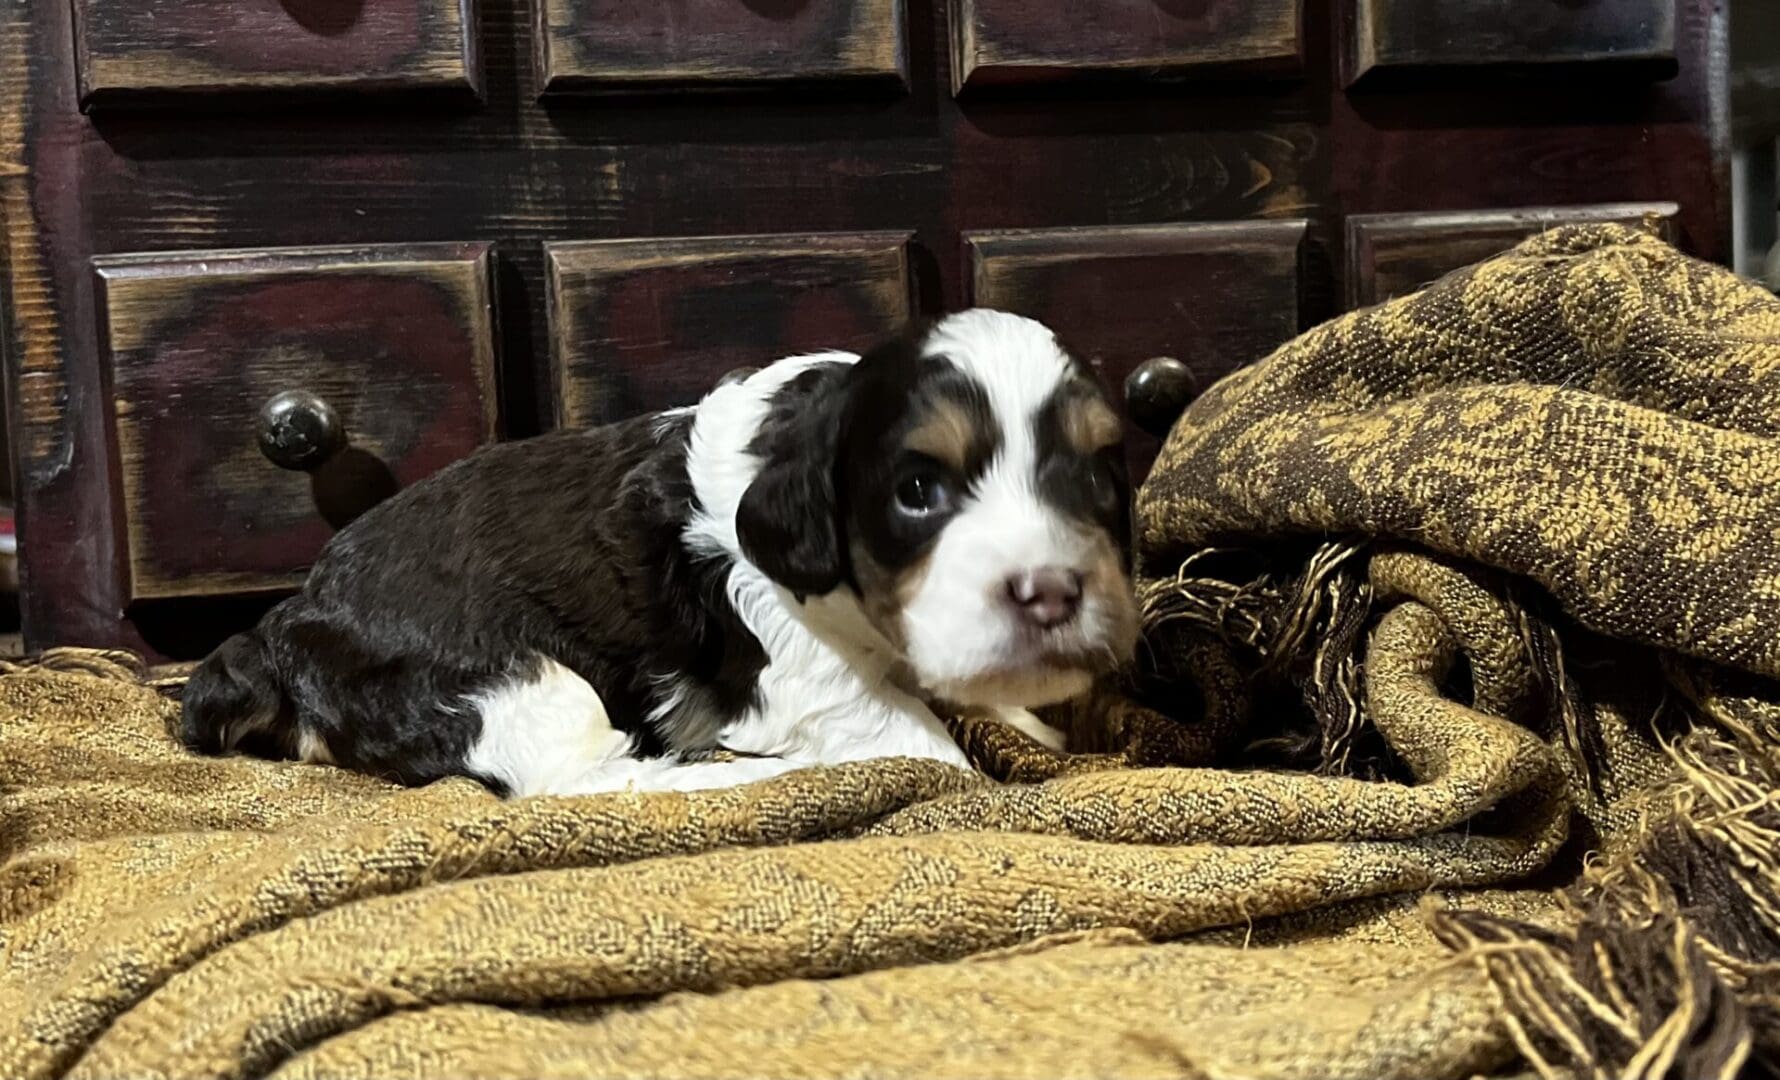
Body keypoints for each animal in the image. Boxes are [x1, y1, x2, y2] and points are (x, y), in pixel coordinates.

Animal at [184, 307, 1139, 797]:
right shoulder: (795, 666)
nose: (1053, 593)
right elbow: (925, 747)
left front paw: (1023, 718)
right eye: (917, 490)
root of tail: (281, 627)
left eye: (1100, 472)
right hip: (511, 679)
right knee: (581, 779)